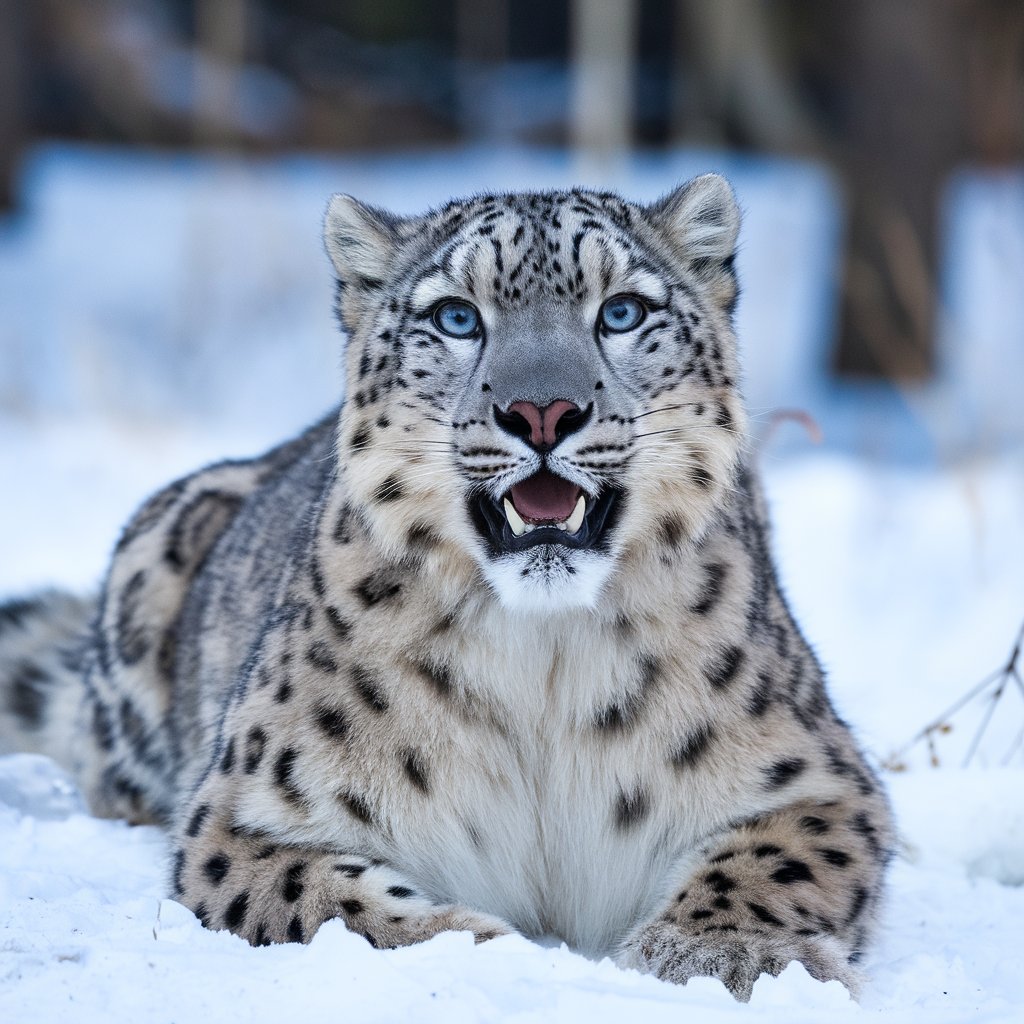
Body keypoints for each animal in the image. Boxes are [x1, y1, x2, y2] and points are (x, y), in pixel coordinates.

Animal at [0, 176, 892, 999]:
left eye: (623, 311)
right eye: (458, 317)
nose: (543, 411)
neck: (545, 668)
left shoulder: (816, 775)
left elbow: (775, 862)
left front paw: (732, 953)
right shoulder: (245, 809)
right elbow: (326, 900)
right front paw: (487, 949)